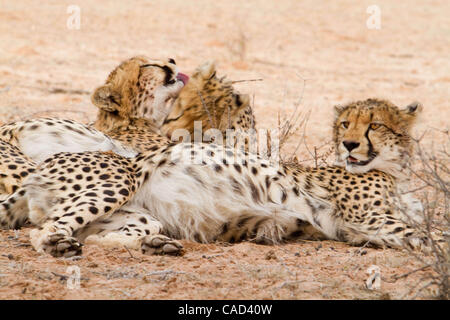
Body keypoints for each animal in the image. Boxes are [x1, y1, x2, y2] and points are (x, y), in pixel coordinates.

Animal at [0, 98, 438, 258]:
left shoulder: (368, 227)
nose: (349, 144)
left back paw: (155, 245)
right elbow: (430, 234)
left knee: (101, 236)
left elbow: (425, 228)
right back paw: (59, 245)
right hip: (120, 176)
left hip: (136, 214)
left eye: (374, 124)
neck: (391, 169)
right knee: (41, 232)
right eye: (345, 124)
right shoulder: (369, 220)